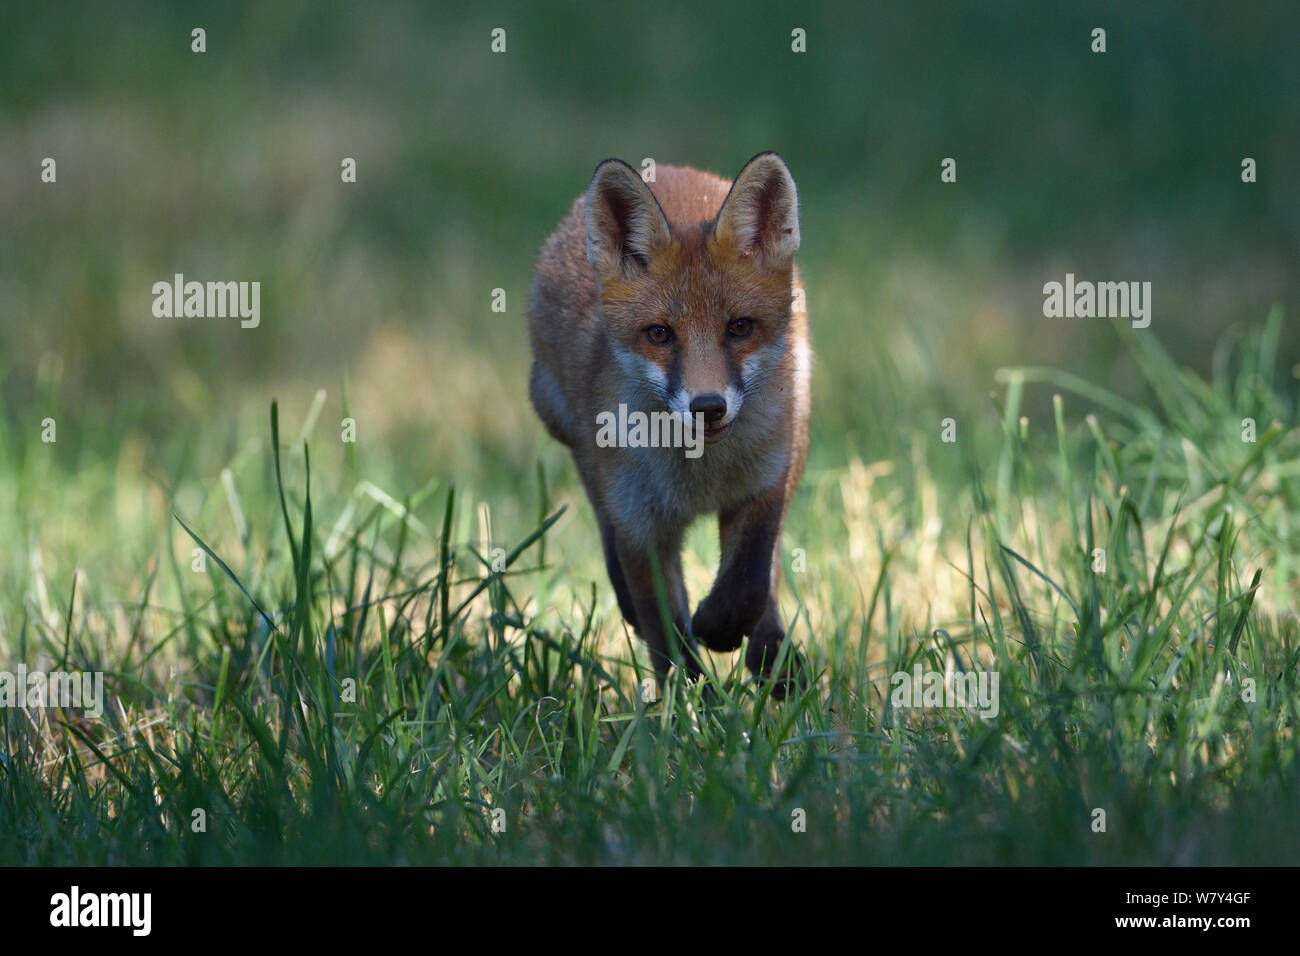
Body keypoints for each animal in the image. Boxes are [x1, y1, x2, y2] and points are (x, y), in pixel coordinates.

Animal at [527, 155, 811, 697]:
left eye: (739, 327)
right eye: (660, 334)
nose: (708, 406)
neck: (700, 476)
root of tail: (670, 169)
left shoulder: (765, 485)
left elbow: (748, 582)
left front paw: (721, 631)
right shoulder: (642, 525)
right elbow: (669, 640)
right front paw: (691, 708)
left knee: (769, 575)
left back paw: (776, 661)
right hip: (571, 438)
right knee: (607, 531)